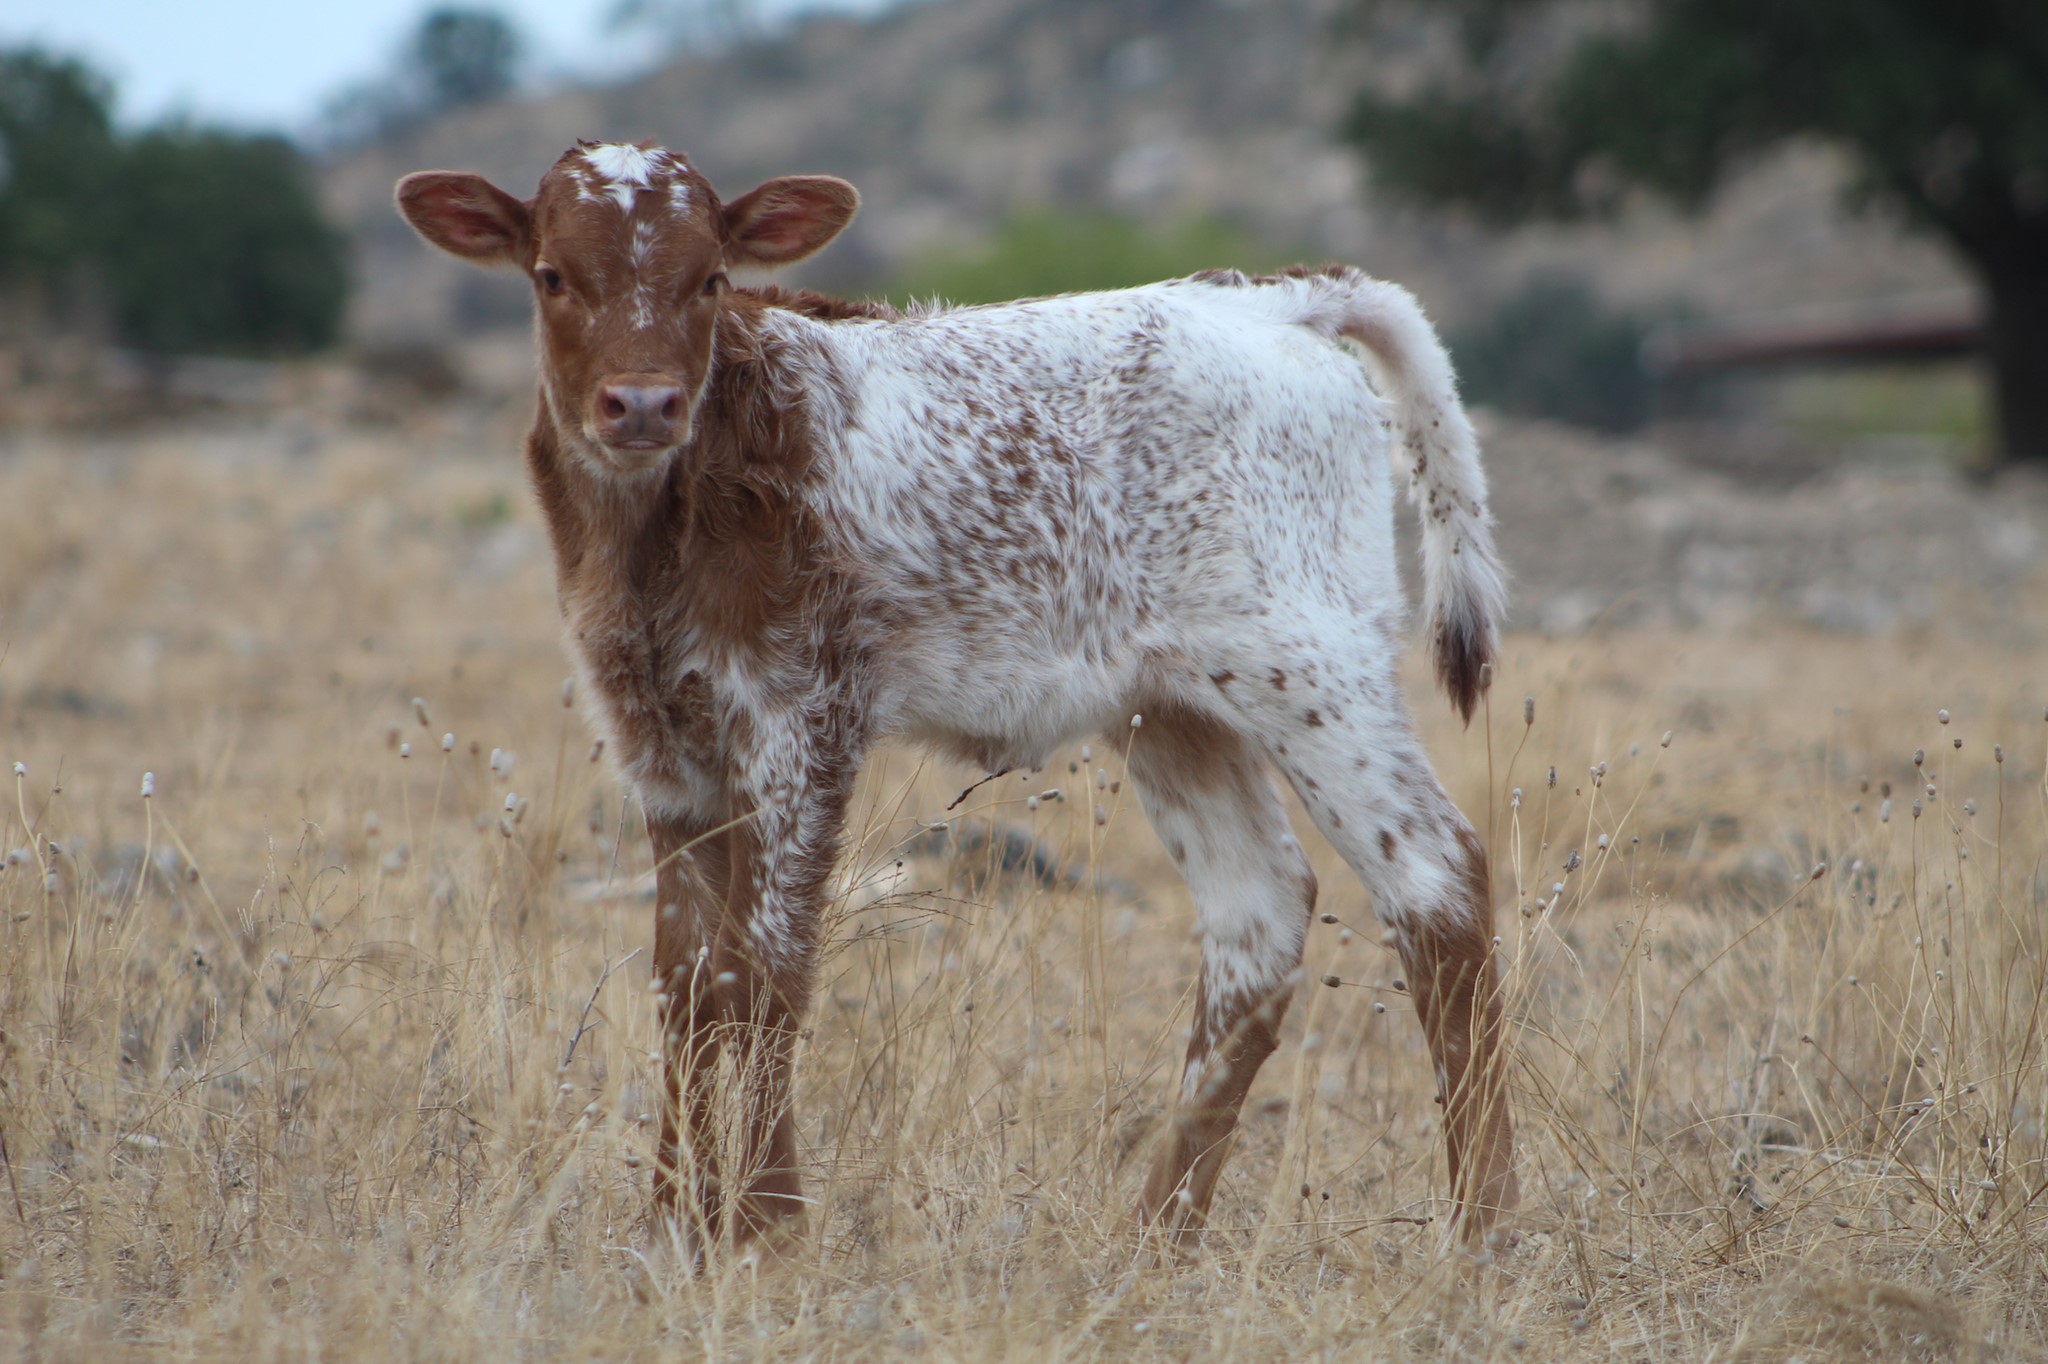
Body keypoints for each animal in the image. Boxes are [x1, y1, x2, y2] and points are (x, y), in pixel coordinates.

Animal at [395, 139, 1516, 1265]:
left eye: (709, 279)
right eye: (552, 276)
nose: (641, 404)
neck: (657, 523)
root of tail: (1266, 298)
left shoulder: (801, 717)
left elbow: (764, 971)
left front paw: (764, 1228)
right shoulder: (659, 744)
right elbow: (686, 980)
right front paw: (676, 1226)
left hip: (1310, 661)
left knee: (1435, 878)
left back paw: (1478, 1235)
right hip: (1175, 705)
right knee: (1258, 913)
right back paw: (1153, 1241)